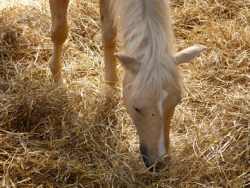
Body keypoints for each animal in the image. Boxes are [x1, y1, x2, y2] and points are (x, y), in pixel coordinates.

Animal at [48, 0, 205, 170]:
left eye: (176, 102)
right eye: (136, 108)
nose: (158, 164)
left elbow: (109, 34)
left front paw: (109, 90)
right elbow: (60, 32)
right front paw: (57, 82)